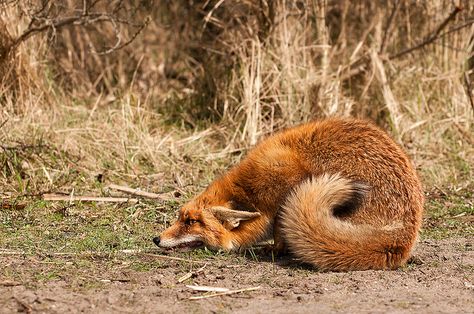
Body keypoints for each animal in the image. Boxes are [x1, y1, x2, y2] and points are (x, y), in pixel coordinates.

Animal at [154, 119, 424, 272]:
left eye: (191, 222)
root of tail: (401, 239)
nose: (156, 239)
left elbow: (279, 226)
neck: (249, 190)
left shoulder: (289, 180)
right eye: (180, 217)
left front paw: (276, 250)